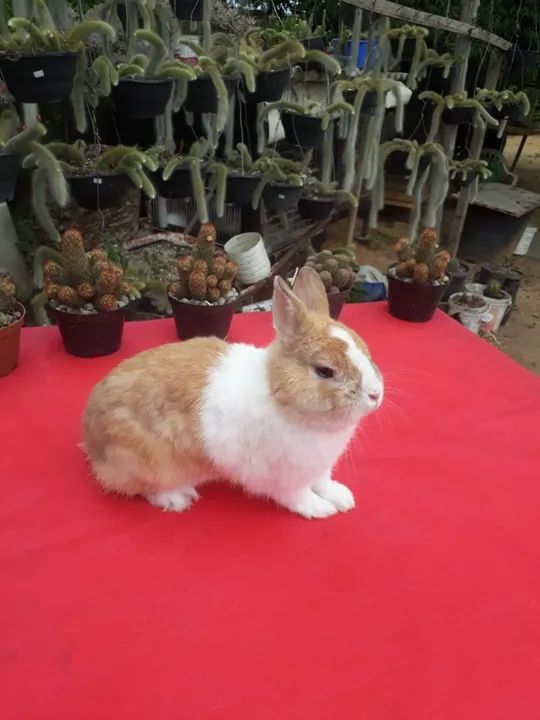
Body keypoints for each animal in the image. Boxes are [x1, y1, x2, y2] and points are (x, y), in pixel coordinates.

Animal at [82, 266, 383, 519]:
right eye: (324, 371)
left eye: (366, 351)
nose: (375, 395)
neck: (279, 395)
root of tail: (90, 436)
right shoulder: (285, 477)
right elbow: (298, 496)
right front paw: (321, 509)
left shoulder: (319, 468)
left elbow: (323, 481)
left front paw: (342, 498)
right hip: (151, 461)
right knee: (141, 487)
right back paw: (177, 498)